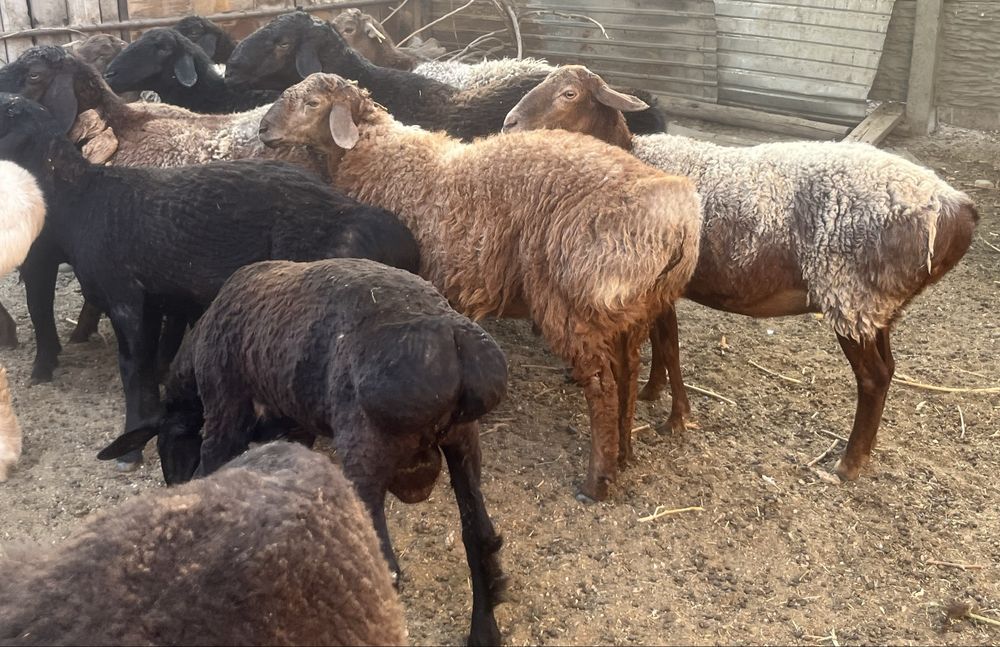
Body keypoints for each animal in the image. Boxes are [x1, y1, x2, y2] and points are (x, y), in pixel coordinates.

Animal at [0, 93, 419, 473]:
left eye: (6, 112)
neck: (81, 201)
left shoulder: (125, 297)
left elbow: (132, 369)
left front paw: (130, 449)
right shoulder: (148, 303)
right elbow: (146, 368)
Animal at [98, 257, 508, 646]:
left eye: (168, 442)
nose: (174, 490)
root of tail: (454, 341)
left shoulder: (224, 415)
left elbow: (215, 467)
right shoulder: (296, 428)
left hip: (365, 444)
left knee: (386, 567)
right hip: (463, 442)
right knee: (479, 537)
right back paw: (484, 632)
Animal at [257, 73, 701, 503]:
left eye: (312, 102)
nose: (263, 129)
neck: (378, 151)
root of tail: (676, 217)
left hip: (573, 300)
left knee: (603, 386)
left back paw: (597, 482)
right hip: (633, 307)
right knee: (628, 372)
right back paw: (624, 454)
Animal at [503, 65, 981, 481]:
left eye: (569, 93)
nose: (509, 124)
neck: (634, 157)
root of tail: (958, 207)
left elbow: (670, 346)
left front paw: (675, 417)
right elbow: (662, 341)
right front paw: (654, 394)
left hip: (849, 293)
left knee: (874, 378)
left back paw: (848, 464)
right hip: (877, 304)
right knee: (890, 367)